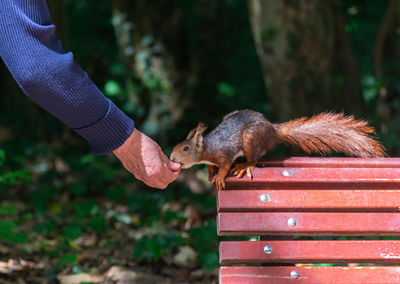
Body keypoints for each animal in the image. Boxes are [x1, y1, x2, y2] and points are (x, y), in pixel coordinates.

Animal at [170, 110, 388, 190]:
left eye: (186, 148)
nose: (171, 157)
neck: (207, 149)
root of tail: (273, 130)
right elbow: (211, 167)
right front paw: (210, 174)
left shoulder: (224, 152)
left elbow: (224, 165)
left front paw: (219, 177)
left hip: (251, 138)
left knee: (254, 158)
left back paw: (244, 165)